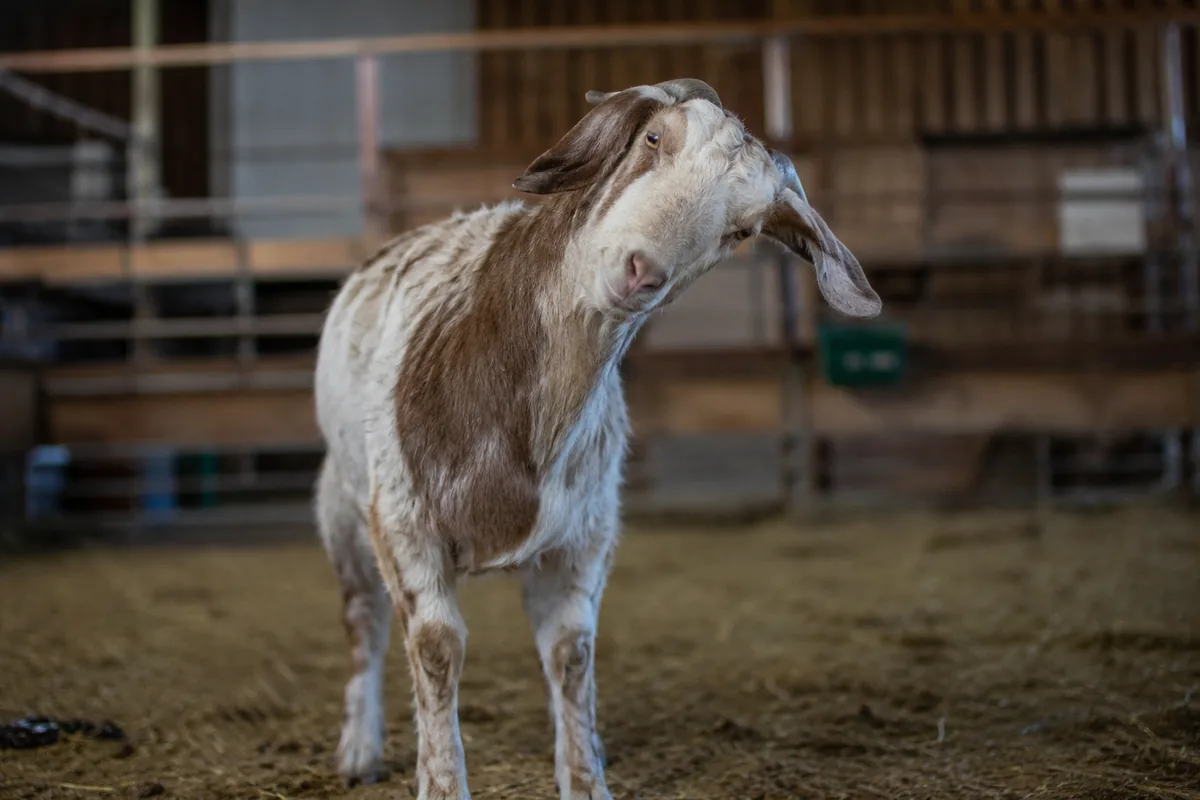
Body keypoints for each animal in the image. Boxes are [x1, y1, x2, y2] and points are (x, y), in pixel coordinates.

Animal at [312, 78, 881, 800]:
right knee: (364, 621)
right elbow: (436, 644)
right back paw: (359, 747)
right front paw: (441, 782)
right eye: (654, 138)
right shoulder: (403, 521)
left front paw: (585, 779)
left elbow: (570, 652)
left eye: (742, 229)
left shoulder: (586, 536)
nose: (642, 271)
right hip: (341, 509)